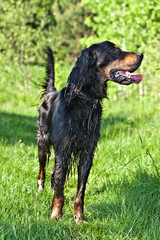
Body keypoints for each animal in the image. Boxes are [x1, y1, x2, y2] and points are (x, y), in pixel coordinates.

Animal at [37, 40, 144, 222]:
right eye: (113, 50)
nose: (141, 54)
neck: (83, 102)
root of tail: (51, 93)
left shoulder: (87, 153)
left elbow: (80, 190)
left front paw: (79, 217)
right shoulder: (63, 150)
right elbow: (60, 188)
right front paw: (56, 215)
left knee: (53, 173)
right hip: (43, 142)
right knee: (42, 170)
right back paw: (40, 191)